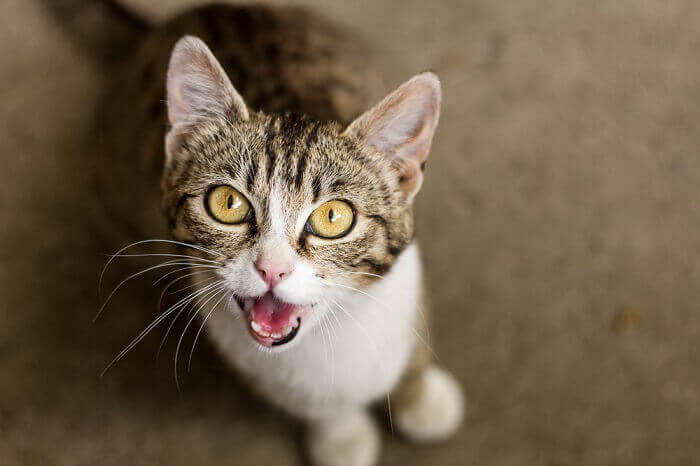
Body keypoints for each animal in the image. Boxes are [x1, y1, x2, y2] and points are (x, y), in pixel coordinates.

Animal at [91, 3, 464, 466]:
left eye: (334, 217)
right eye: (227, 203)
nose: (273, 269)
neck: (328, 334)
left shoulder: (409, 280)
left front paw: (421, 398)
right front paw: (341, 435)